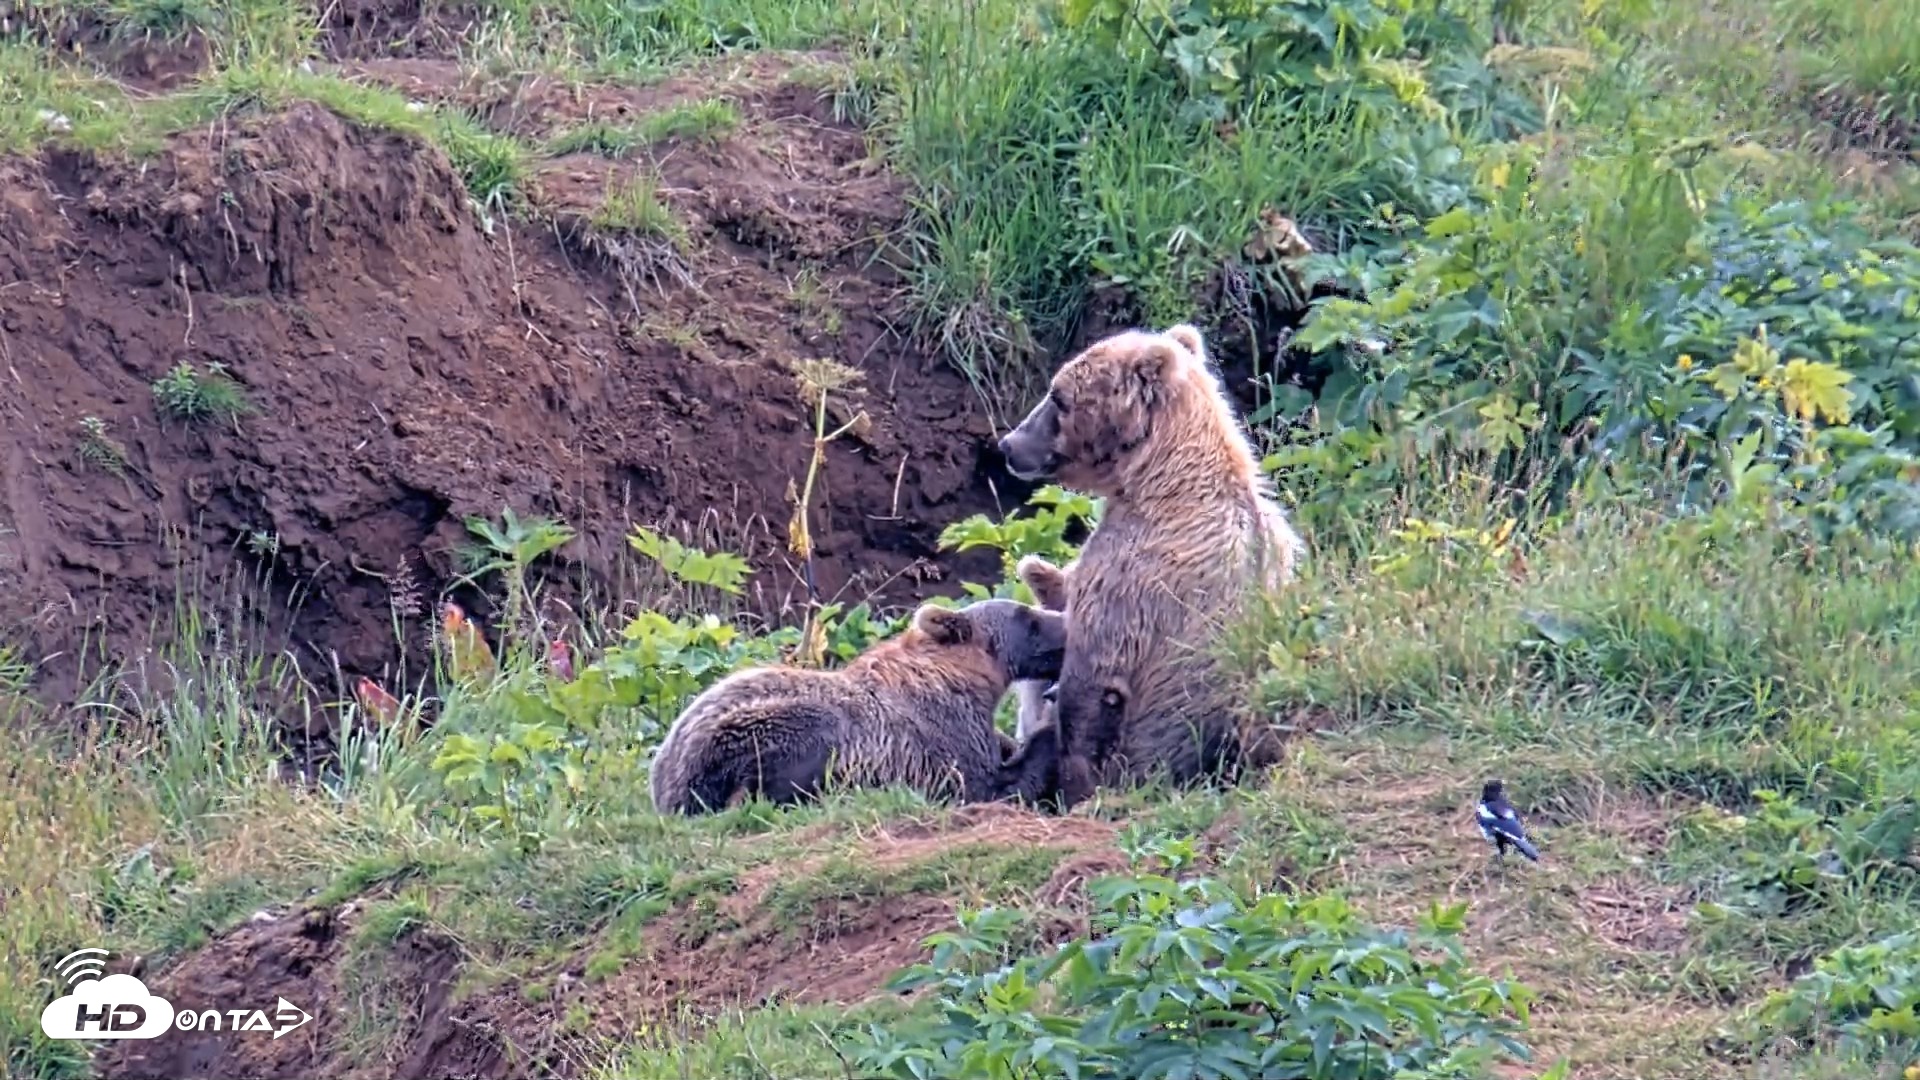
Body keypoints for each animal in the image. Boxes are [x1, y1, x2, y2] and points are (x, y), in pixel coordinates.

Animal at [648, 598, 1069, 816]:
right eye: (1029, 618)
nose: (1064, 623)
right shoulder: (940, 735)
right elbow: (990, 784)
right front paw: (1049, 731)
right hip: (762, 733)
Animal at [995, 321, 1303, 809]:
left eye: (1057, 396)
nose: (1009, 444)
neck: (1158, 474)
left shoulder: (1131, 568)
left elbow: (1094, 675)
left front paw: (1074, 779)